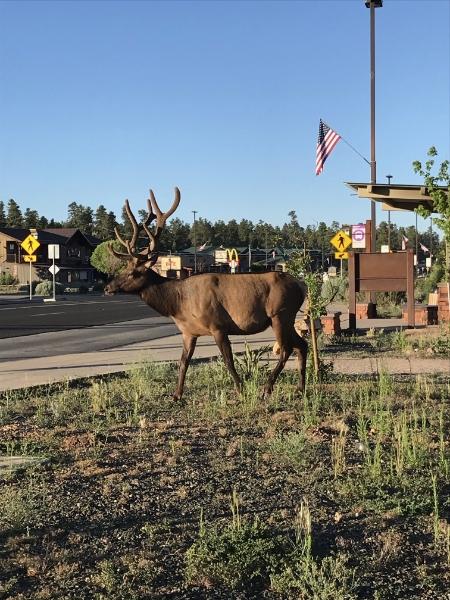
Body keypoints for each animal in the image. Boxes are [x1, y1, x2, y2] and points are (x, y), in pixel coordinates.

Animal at [105, 188, 308, 400]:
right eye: (123, 268)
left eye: (133, 272)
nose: (108, 288)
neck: (178, 305)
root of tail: (301, 285)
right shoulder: (188, 332)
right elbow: (183, 361)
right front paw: (176, 395)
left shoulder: (218, 325)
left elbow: (228, 360)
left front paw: (241, 389)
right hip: (287, 318)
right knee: (302, 345)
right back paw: (300, 388)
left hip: (280, 314)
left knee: (286, 349)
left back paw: (267, 388)